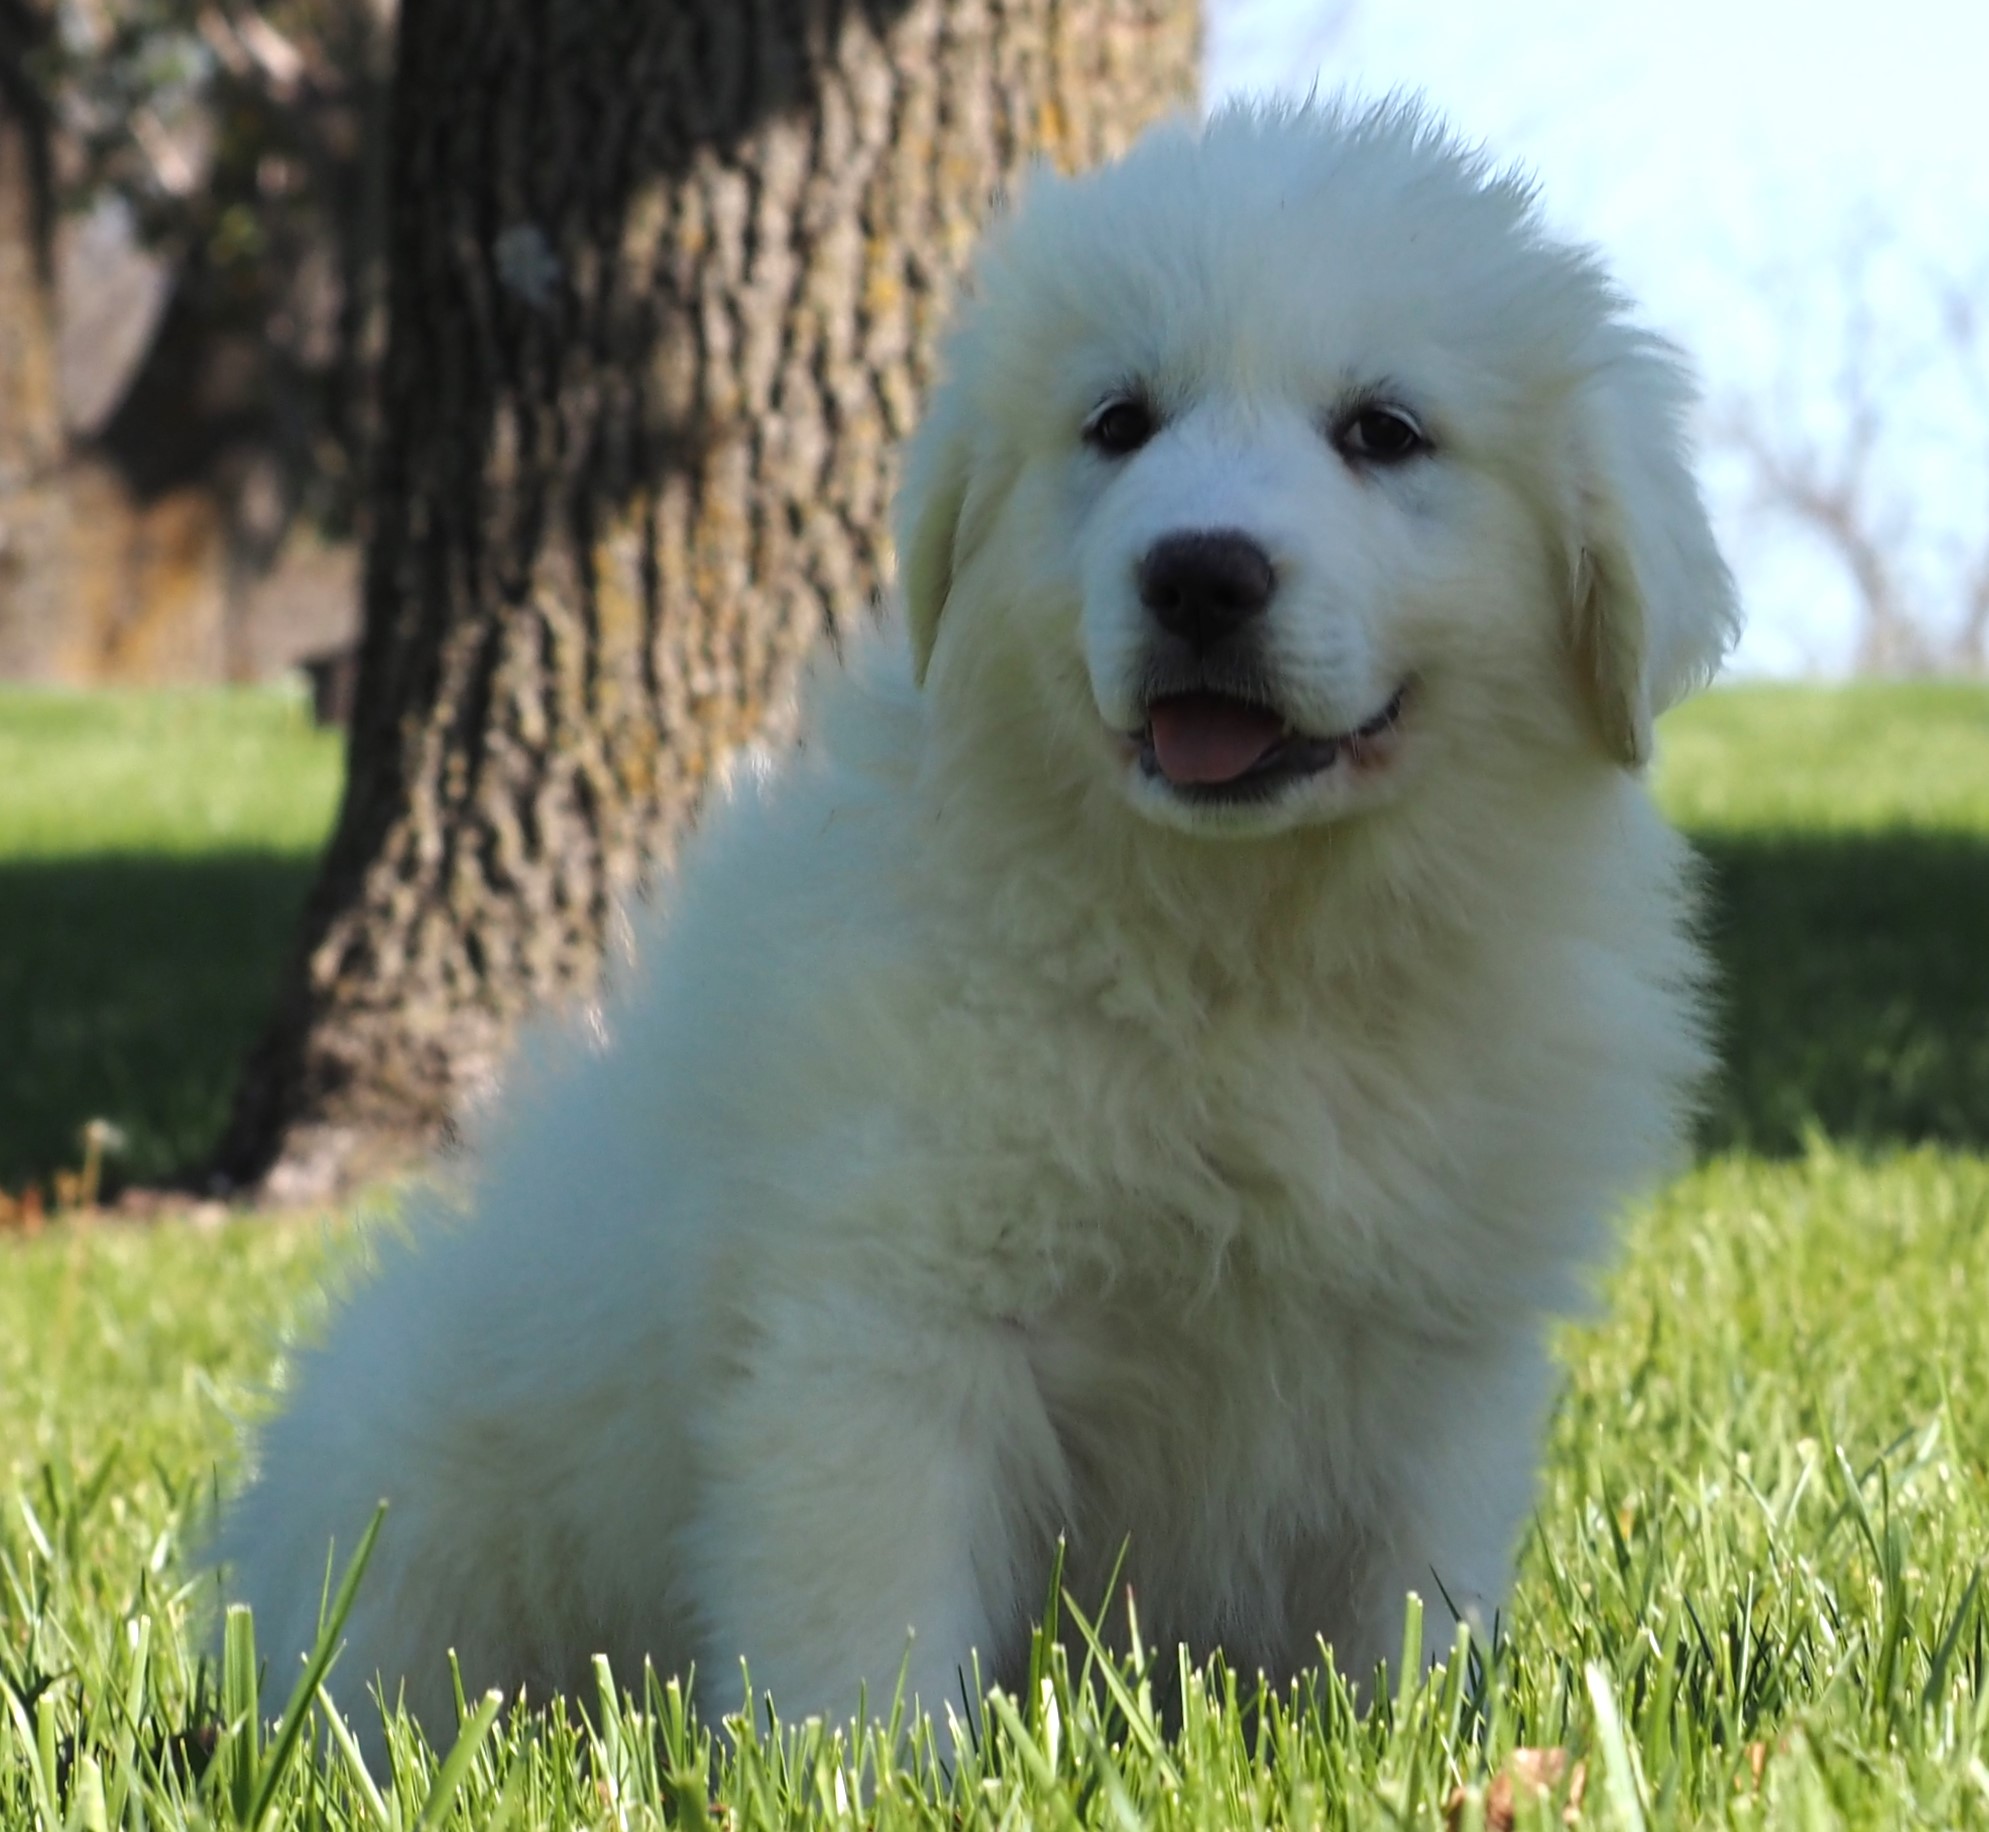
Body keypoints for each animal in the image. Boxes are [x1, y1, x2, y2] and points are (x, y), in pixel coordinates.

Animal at [221, 99, 1742, 1742]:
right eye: (1118, 422)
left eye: (1385, 433)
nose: (1199, 573)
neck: (1243, 941)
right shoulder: (891, 1315)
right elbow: (866, 1613)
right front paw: (858, 1766)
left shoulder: (1440, 1354)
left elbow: (1401, 1598)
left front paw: (1406, 1743)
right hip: (417, 1489)